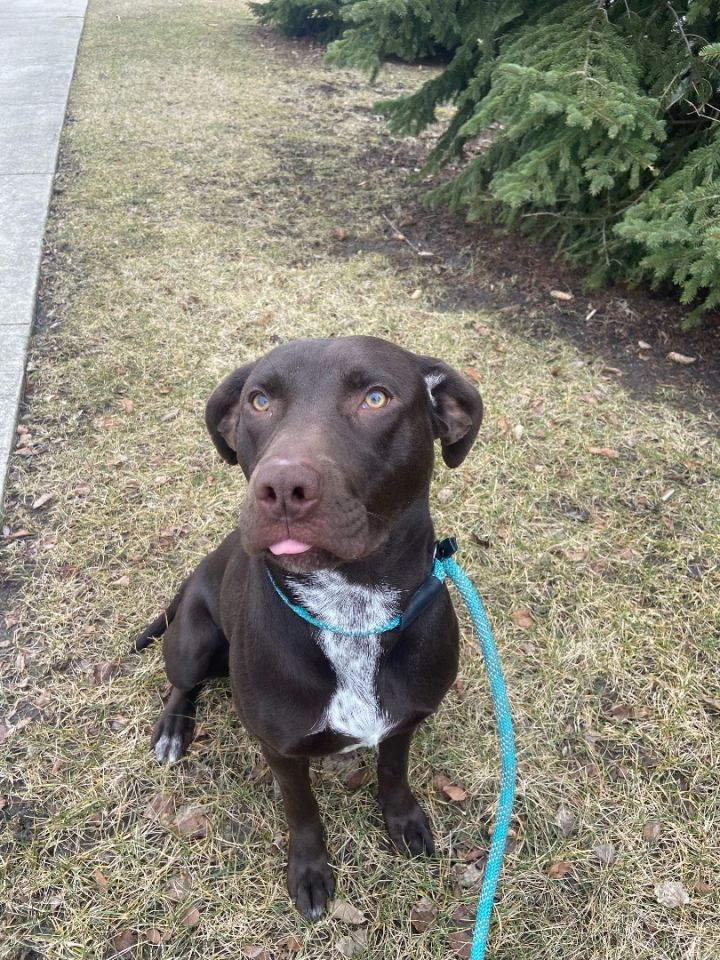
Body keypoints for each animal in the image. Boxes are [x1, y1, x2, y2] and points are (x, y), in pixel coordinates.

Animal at [135, 336, 484, 916]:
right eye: (258, 401)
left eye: (376, 397)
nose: (280, 485)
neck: (352, 608)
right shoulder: (281, 750)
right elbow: (301, 811)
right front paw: (309, 869)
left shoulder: (404, 720)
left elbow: (393, 771)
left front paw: (403, 818)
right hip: (192, 638)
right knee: (181, 683)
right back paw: (173, 729)